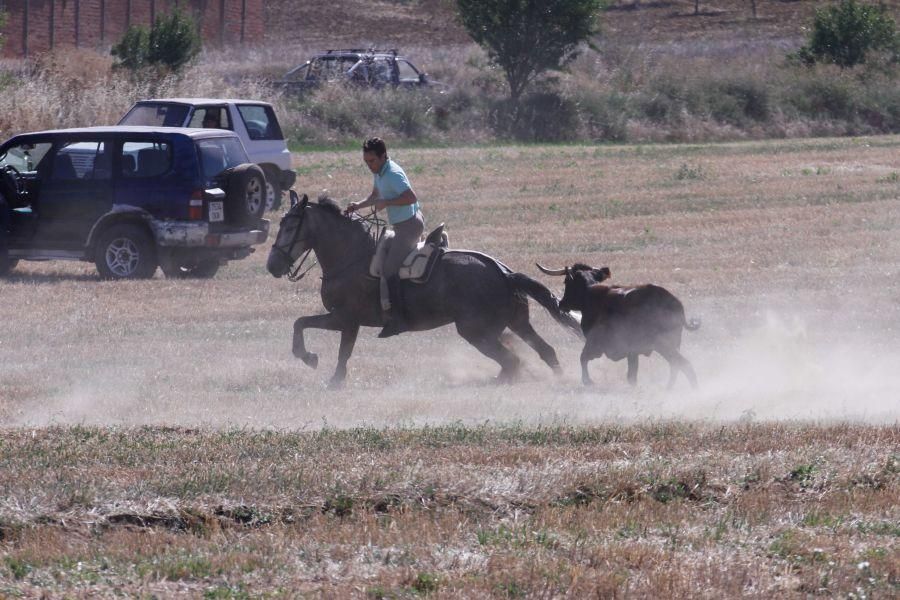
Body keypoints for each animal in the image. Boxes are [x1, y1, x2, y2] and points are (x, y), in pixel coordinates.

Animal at [266, 193, 584, 390]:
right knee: (545, 351)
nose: (272, 265)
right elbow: (305, 326)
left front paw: (314, 362)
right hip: (516, 322)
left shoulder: (345, 319)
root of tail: (504, 272)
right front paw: (317, 364)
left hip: (475, 331)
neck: (350, 256)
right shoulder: (344, 320)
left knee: (512, 361)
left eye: (291, 226)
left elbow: (325, 339)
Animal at [536, 264, 704, 390]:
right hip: (671, 345)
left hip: (664, 345)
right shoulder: (632, 351)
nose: (561, 304)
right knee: (676, 366)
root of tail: (675, 304)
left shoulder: (595, 343)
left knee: (683, 364)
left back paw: (694, 389)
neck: (591, 295)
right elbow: (632, 375)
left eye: (566, 282)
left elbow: (583, 357)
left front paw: (588, 381)